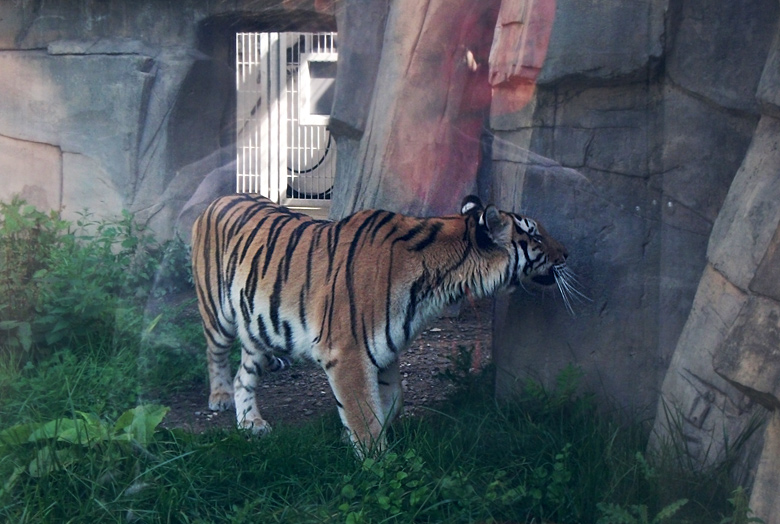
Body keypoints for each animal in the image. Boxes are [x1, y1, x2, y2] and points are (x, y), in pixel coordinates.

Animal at [192, 192, 568, 454]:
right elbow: (365, 416)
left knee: (244, 376)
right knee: (215, 355)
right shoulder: (347, 354)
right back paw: (221, 397)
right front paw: (379, 465)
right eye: (535, 235)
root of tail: (218, 198)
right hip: (218, 314)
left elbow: (390, 402)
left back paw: (250, 423)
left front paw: (356, 438)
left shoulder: (384, 348)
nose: (567, 254)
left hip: (258, 325)